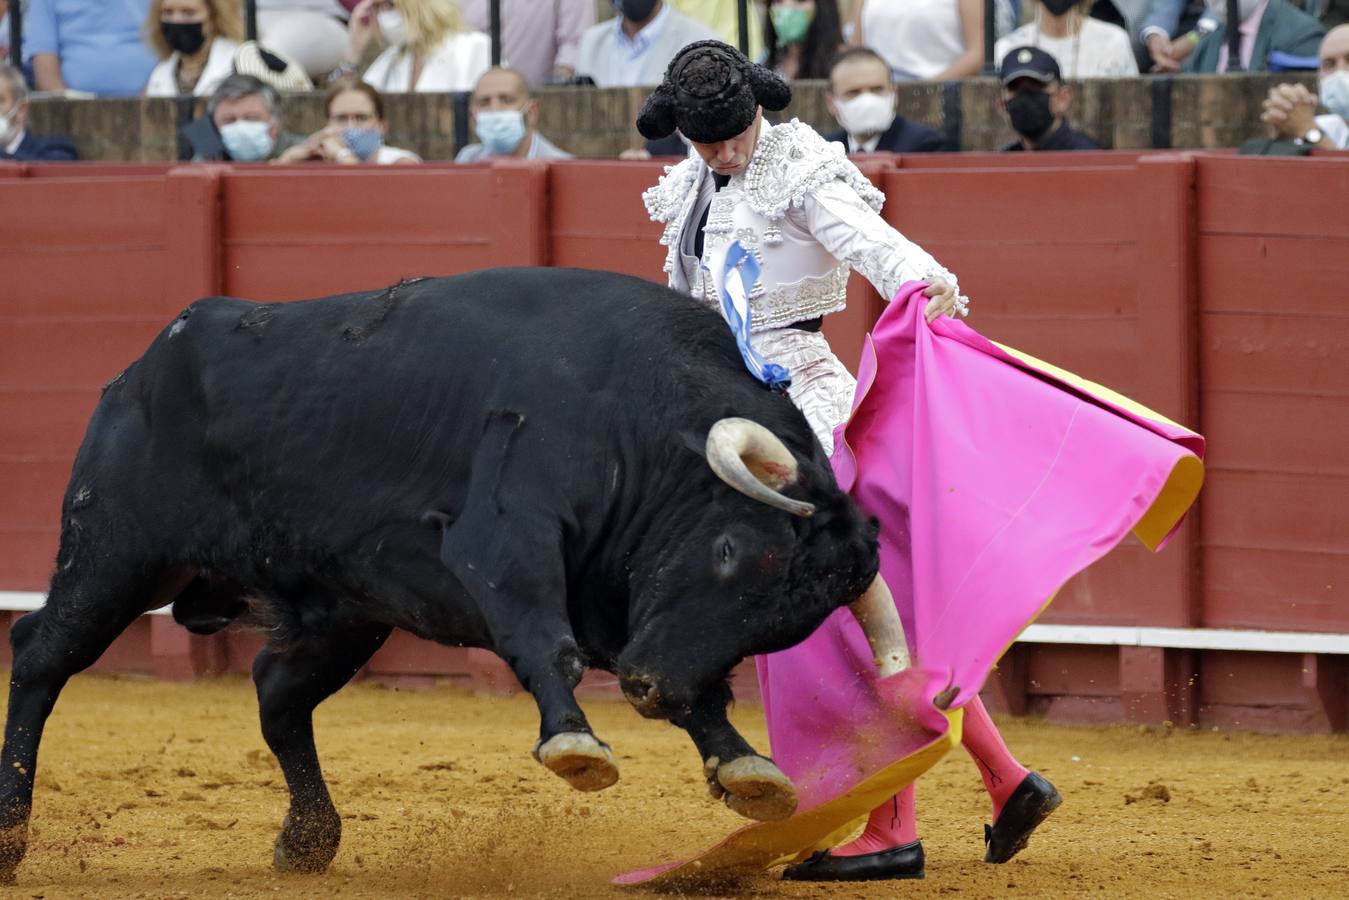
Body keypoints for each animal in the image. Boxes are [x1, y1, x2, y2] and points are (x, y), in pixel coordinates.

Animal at [0, 267, 879, 879]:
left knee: (277, 691)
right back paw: (11, 838)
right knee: (42, 653)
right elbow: (544, 640)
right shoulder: (505, 537)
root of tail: (143, 365)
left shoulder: (621, 603)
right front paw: (576, 746)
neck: (636, 421)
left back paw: (308, 841)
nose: (648, 689)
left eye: (786, 622)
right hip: (115, 551)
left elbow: (691, 689)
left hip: (342, 607)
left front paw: (747, 768)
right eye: (729, 551)